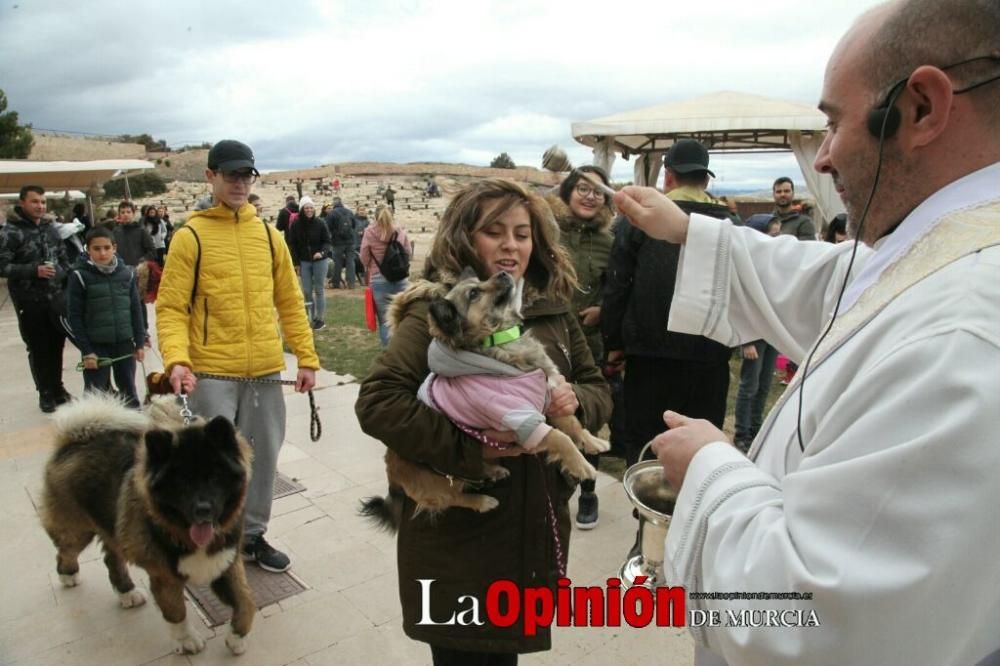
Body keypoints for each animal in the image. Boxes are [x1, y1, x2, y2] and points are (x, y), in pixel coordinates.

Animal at [41, 394, 256, 652]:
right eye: (181, 481)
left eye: (215, 476)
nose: (203, 510)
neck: (181, 531)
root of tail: (74, 440)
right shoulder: (164, 576)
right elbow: (176, 611)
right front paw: (187, 640)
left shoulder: (225, 561)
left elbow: (246, 600)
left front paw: (237, 637)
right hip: (78, 529)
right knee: (66, 550)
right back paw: (68, 575)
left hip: (114, 528)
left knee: (111, 558)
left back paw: (127, 593)